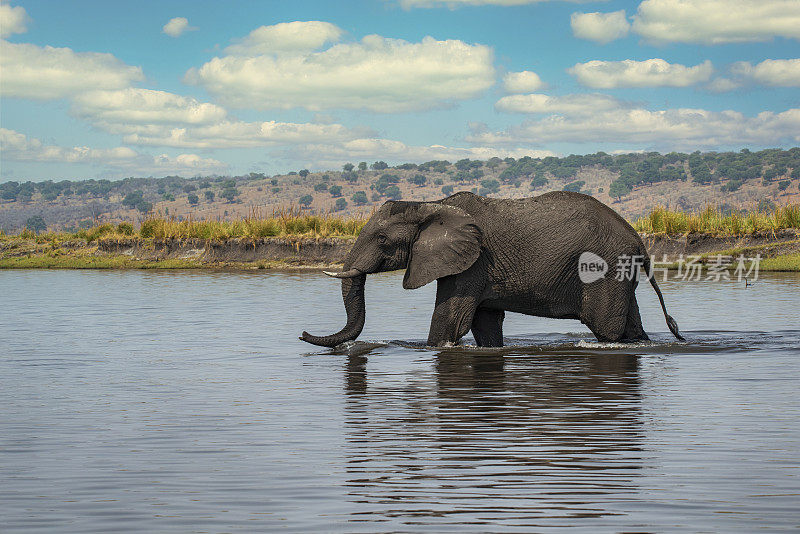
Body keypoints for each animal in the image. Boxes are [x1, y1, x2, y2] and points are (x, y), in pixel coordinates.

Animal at [300, 192, 680, 348]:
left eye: (381, 238)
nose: (302, 334)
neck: (431, 204)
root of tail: (639, 240)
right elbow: (484, 325)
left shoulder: (473, 262)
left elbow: (450, 321)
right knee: (630, 326)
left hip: (604, 270)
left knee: (606, 328)